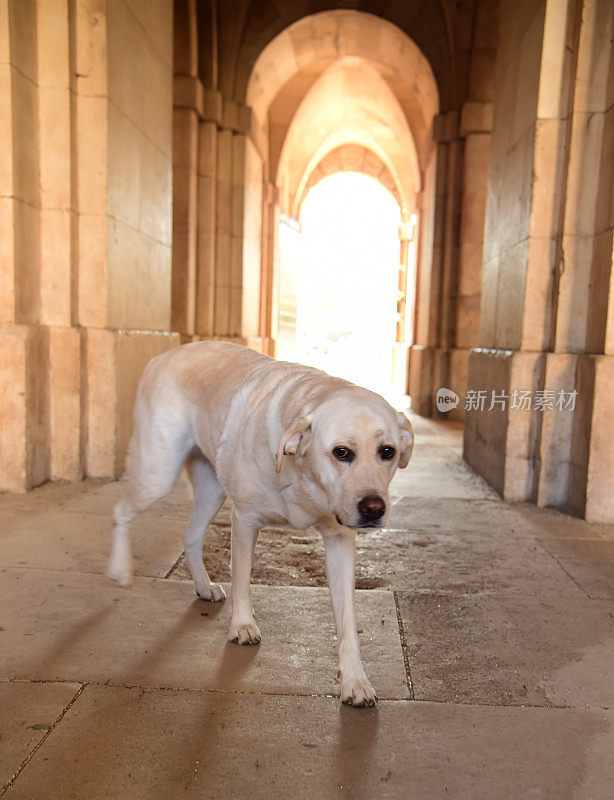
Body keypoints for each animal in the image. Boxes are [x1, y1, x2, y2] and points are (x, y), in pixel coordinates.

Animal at [110, 340, 416, 704]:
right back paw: (119, 570)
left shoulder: (340, 541)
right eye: (341, 452)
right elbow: (242, 578)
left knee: (190, 536)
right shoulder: (245, 520)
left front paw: (354, 679)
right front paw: (242, 625)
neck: (302, 476)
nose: (373, 508)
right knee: (120, 511)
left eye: (388, 451)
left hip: (211, 490)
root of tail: (166, 353)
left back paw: (202, 586)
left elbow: (347, 620)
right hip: (156, 474)